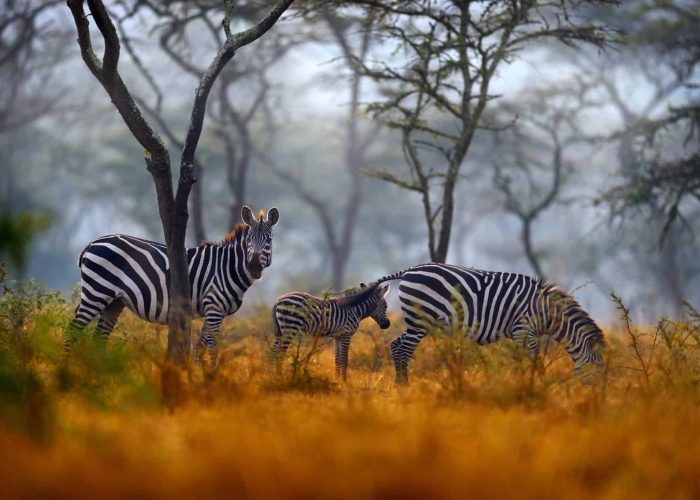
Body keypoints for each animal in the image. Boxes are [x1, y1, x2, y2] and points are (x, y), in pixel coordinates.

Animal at [67, 206, 279, 364]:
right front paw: (213, 376)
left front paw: (198, 376)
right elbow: (212, 344)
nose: (253, 267)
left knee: (99, 337)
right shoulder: (214, 307)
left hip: (114, 301)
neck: (227, 267)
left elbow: (200, 345)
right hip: (97, 292)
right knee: (74, 329)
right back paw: (66, 372)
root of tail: (93, 242)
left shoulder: (212, 310)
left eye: (269, 240)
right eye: (249, 240)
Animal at [374, 263, 605, 384]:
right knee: (404, 350)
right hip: (420, 320)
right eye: (599, 371)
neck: (547, 314)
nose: (593, 402)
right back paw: (405, 387)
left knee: (396, 345)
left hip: (417, 322)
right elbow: (532, 362)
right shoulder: (524, 329)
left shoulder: (522, 334)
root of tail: (409, 270)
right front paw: (534, 386)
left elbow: (521, 362)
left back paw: (400, 386)